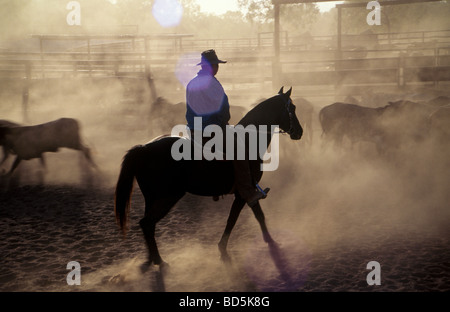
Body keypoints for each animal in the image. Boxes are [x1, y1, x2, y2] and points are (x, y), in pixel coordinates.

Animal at [113, 88, 302, 268]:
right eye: (292, 108)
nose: (299, 132)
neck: (249, 140)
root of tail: (143, 148)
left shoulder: (248, 191)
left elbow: (257, 215)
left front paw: (269, 240)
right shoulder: (244, 192)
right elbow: (234, 219)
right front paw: (223, 249)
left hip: (152, 198)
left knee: (147, 225)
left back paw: (151, 259)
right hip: (167, 197)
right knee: (147, 223)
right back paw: (159, 261)